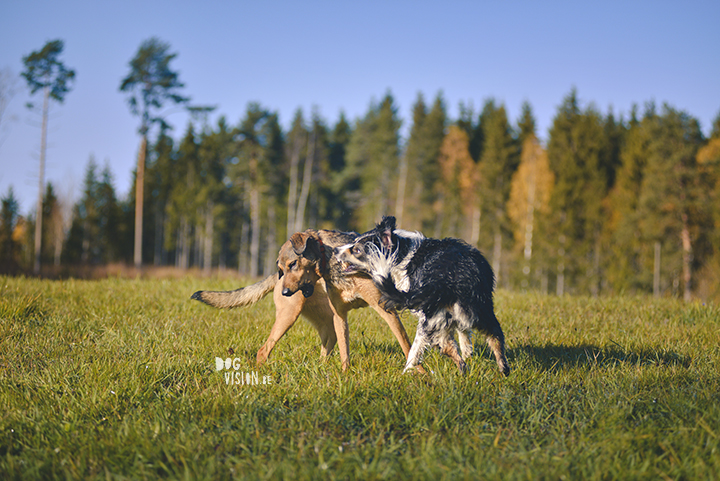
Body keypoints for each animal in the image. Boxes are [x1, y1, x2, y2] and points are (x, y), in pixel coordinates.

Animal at [191, 228, 416, 368]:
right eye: (282, 269)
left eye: (293, 264)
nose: (285, 291)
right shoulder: (341, 315)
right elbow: (346, 354)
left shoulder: (381, 308)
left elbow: (405, 343)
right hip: (289, 315)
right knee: (263, 350)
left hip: (325, 321)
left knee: (326, 346)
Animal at [334, 216, 510, 376]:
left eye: (356, 250)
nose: (335, 250)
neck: (401, 254)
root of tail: (451, 274)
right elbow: (463, 333)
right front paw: (468, 353)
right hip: (482, 308)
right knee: (494, 336)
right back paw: (501, 371)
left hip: (432, 317)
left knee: (422, 350)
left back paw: (406, 373)